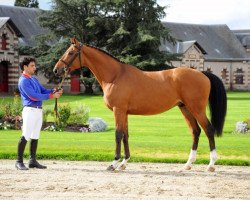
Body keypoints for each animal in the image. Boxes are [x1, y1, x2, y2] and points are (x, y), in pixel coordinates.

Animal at [53, 38, 228, 172]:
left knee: (208, 130)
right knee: (195, 131)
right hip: (185, 108)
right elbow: (125, 135)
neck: (115, 76)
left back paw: (211, 165)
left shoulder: (118, 110)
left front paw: (113, 163)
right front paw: (124, 163)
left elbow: (118, 134)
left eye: (70, 52)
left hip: (196, 108)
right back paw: (188, 164)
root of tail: (202, 73)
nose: (56, 70)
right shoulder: (124, 112)